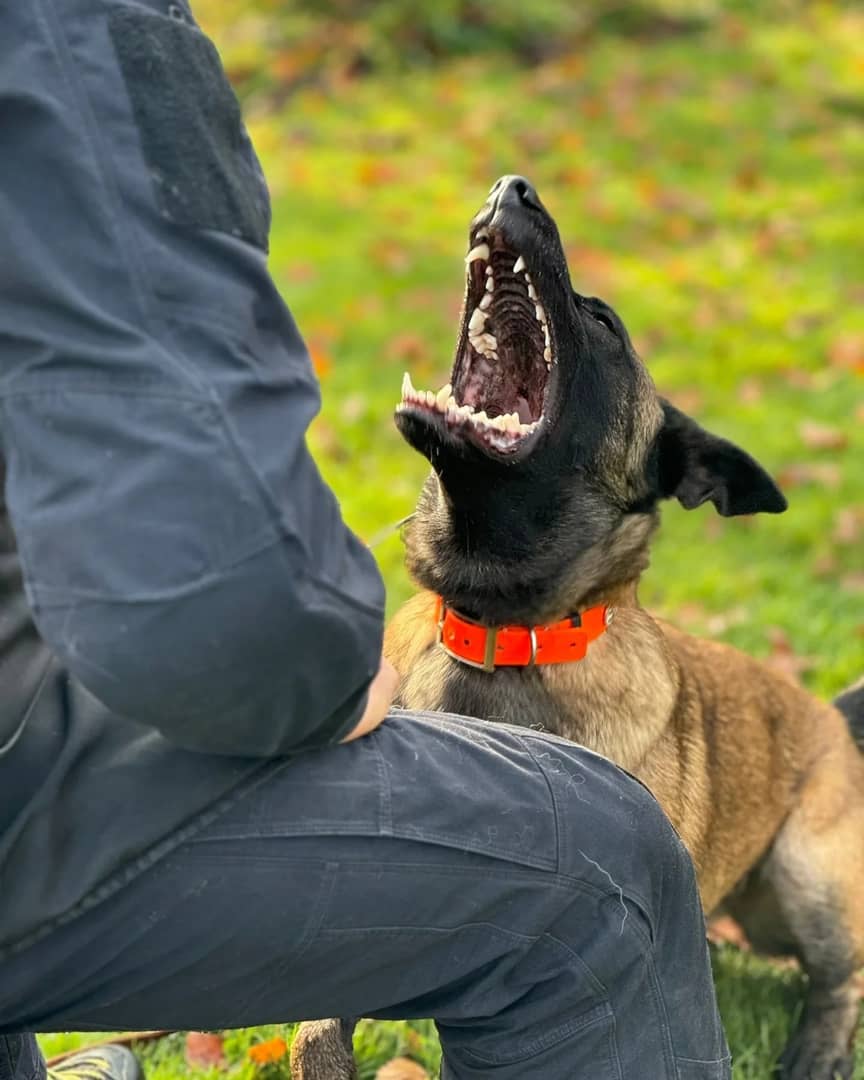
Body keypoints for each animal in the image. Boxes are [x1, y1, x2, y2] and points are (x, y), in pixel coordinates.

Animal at [292, 177, 864, 1080]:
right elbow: (318, 1034)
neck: (499, 636)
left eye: (604, 323)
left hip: (806, 878)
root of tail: (830, 717)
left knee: (843, 975)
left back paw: (816, 1047)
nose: (511, 186)